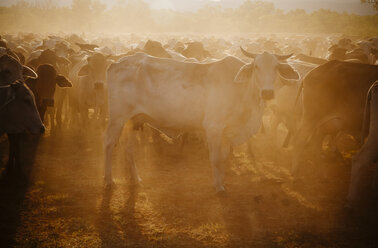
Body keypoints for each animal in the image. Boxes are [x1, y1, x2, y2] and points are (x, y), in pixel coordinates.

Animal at [102, 48, 298, 192]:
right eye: (256, 67)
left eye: (276, 68)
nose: (267, 93)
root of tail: (116, 63)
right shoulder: (213, 127)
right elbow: (215, 158)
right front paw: (219, 187)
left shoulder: (227, 132)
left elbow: (223, 157)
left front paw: (221, 181)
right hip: (117, 118)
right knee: (109, 143)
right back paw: (108, 180)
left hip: (132, 120)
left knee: (128, 148)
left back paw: (136, 179)